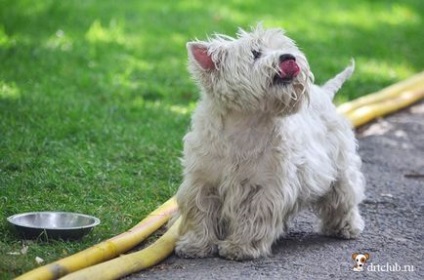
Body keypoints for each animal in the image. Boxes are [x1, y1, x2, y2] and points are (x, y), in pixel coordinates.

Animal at [173, 25, 364, 262]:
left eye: (284, 47)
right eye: (255, 53)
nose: (289, 57)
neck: (246, 122)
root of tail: (324, 93)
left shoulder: (265, 185)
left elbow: (253, 215)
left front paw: (240, 247)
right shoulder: (203, 180)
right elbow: (199, 211)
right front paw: (195, 245)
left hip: (340, 165)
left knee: (344, 197)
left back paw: (345, 228)